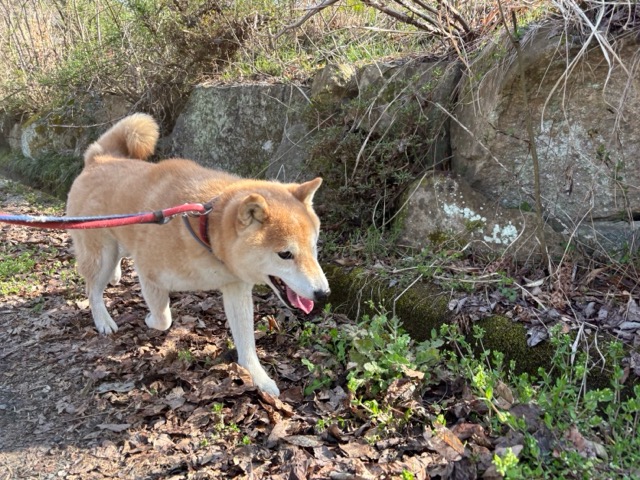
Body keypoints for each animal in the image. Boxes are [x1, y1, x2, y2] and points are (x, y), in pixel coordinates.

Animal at [66, 113, 330, 396]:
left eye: (313, 248)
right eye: (285, 254)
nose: (323, 294)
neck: (206, 230)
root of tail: (99, 159)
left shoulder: (236, 287)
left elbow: (246, 342)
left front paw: (259, 378)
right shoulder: (149, 273)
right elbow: (164, 318)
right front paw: (149, 320)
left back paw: (115, 277)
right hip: (100, 254)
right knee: (93, 290)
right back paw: (104, 320)